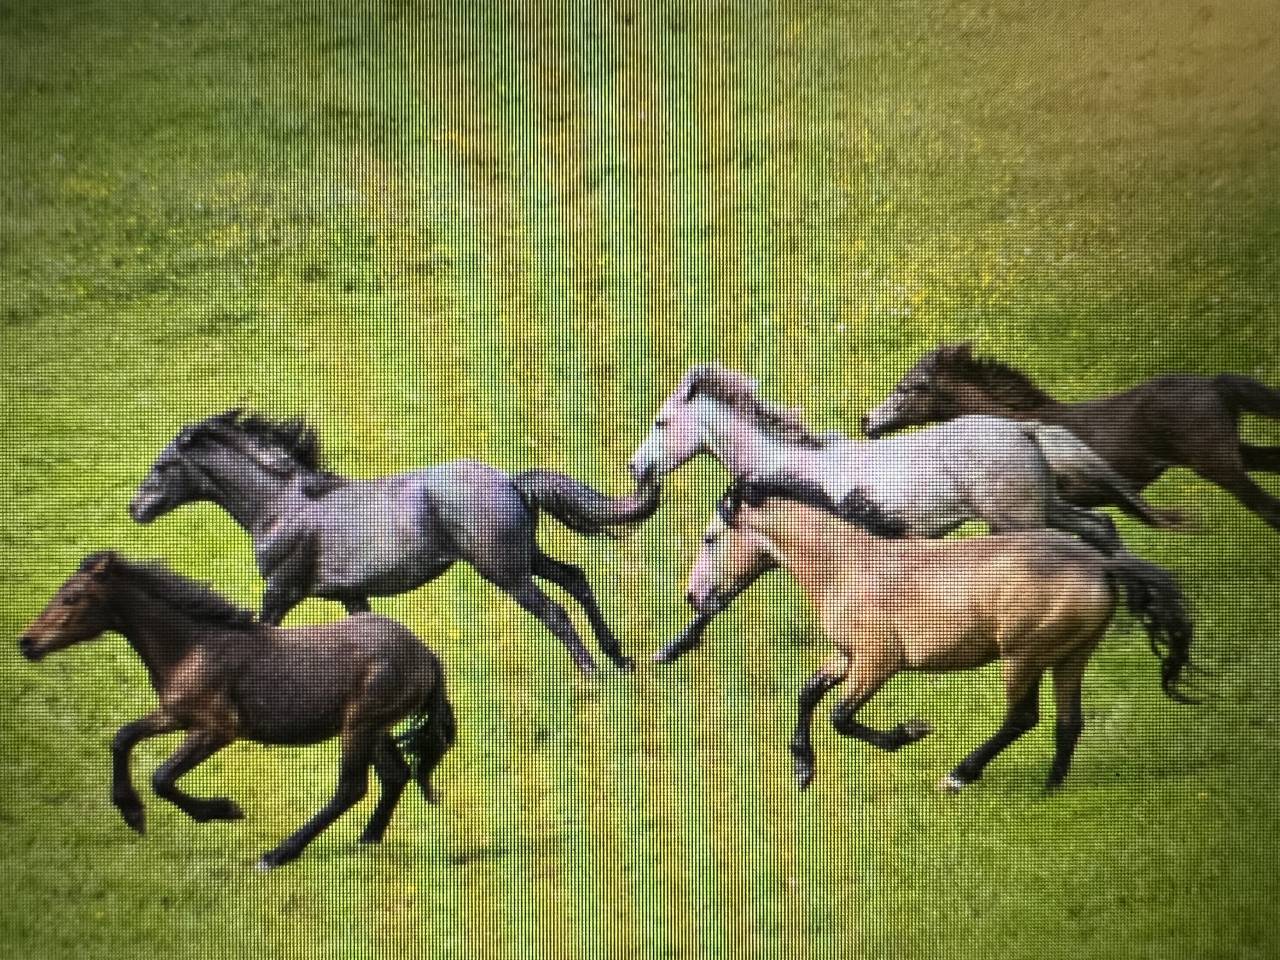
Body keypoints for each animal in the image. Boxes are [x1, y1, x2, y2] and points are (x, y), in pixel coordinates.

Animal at [17, 551, 456, 870]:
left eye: (71, 597)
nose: (27, 642)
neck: (192, 647)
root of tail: (428, 657)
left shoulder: (218, 728)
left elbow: (162, 777)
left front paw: (224, 810)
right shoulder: (177, 715)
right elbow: (123, 737)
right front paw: (132, 812)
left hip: (359, 724)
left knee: (351, 788)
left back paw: (277, 855)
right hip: (375, 727)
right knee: (395, 774)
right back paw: (366, 840)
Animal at [129, 410, 659, 675]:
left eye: (161, 465)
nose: (135, 509)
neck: (280, 506)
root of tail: (509, 480)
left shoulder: (281, 590)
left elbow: (260, 634)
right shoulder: (351, 595)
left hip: (504, 571)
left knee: (554, 609)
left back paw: (593, 674)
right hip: (523, 558)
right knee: (576, 578)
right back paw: (620, 660)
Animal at [627, 363, 1180, 663]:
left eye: (661, 421)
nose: (636, 467)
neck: (792, 466)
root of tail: (1024, 431)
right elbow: (723, 597)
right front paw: (665, 651)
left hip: (1018, 519)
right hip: (1047, 507)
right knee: (1101, 527)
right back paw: (1141, 604)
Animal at [685, 481, 1196, 793]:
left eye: (710, 538)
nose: (694, 598)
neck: (849, 568)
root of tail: (1100, 564)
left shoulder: (879, 661)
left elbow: (840, 716)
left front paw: (911, 732)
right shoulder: (848, 656)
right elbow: (808, 693)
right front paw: (803, 769)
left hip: (1024, 656)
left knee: (1022, 717)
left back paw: (959, 776)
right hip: (1070, 657)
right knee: (1068, 722)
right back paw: (1051, 789)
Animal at [862, 341, 1280, 530]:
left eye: (907, 387)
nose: (868, 422)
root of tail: (1213, 384)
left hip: (1218, 465)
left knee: (1267, 507)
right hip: (1236, 452)